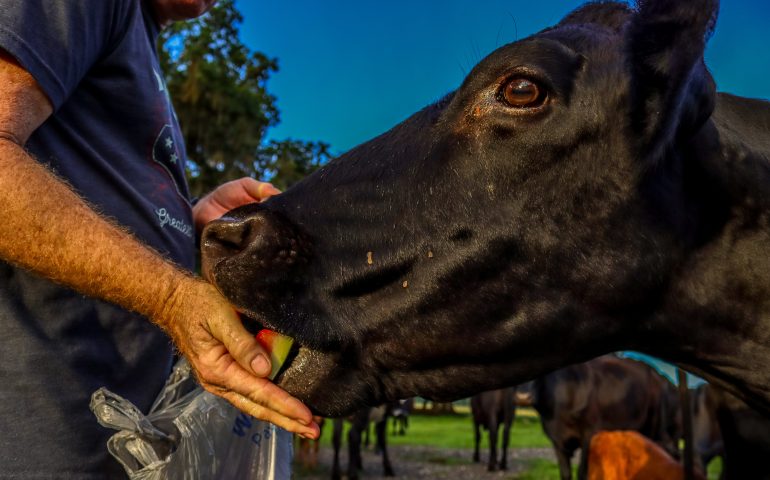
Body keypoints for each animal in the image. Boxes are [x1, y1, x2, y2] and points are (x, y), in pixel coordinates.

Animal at [532, 356, 680, 480]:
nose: (526, 396)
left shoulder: (589, 434)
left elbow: (582, 472)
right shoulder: (557, 441)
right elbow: (565, 473)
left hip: (656, 427)